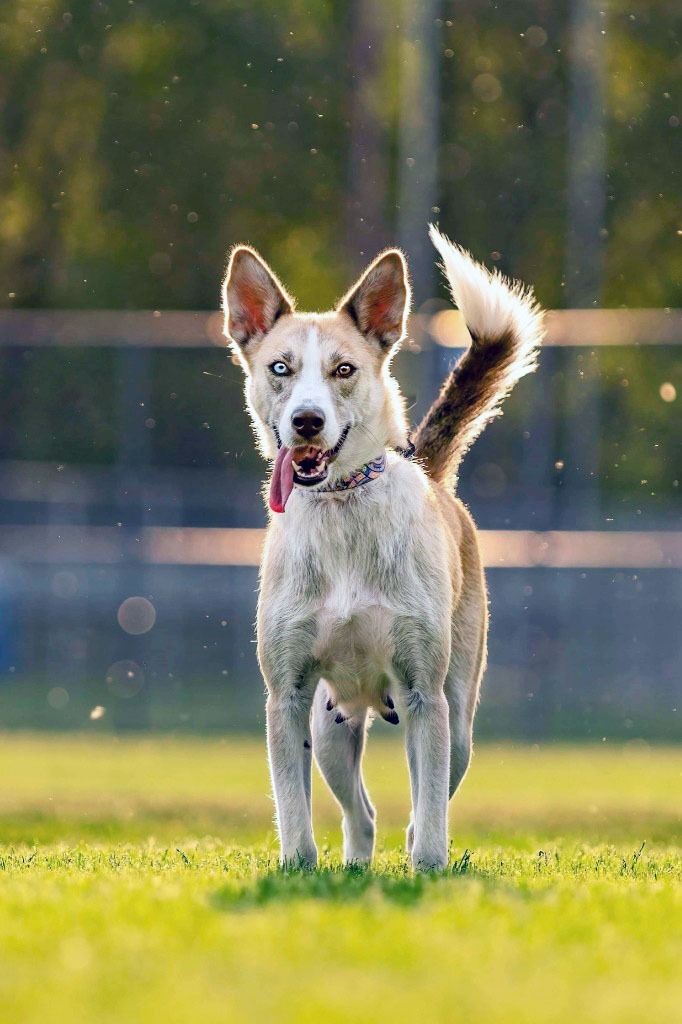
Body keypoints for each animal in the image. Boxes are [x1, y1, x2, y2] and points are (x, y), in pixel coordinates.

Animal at [220, 228, 540, 868]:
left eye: (344, 369)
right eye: (279, 368)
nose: (307, 421)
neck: (343, 507)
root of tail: (434, 476)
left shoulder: (424, 695)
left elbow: (430, 812)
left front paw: (429, 871)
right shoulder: (286, 696)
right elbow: (293, 808)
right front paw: (298, 870)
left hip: (457, 718)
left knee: (425, 800)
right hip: (330, 730)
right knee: (361, 815)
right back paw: (352, 869)